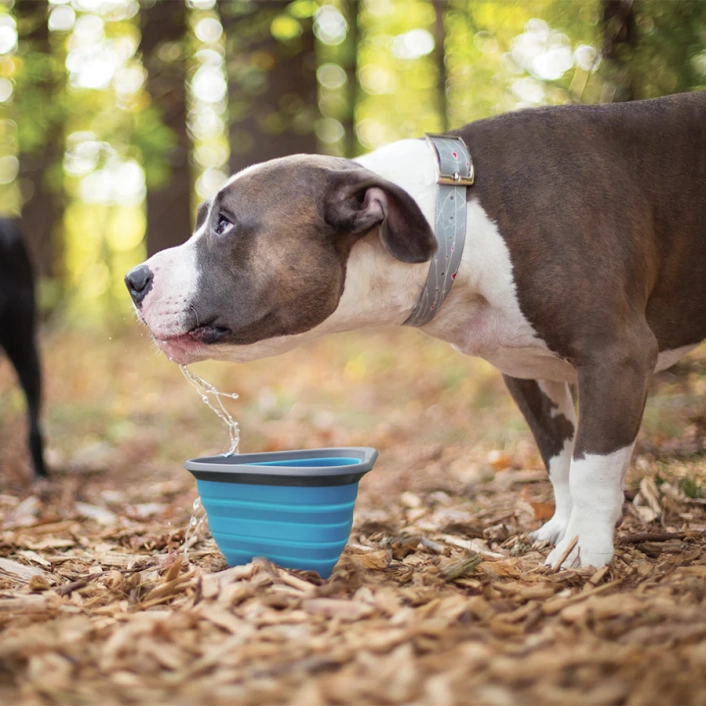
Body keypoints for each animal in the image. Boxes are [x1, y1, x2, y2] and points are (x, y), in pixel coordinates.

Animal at [126, 92, 704, 568]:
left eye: (224, 224)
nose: (134, 279)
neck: (461, 224)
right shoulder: (527, 371)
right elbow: (558, 455)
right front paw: (563, 527)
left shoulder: (617, 355)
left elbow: (591, 465)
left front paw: (585, 547)